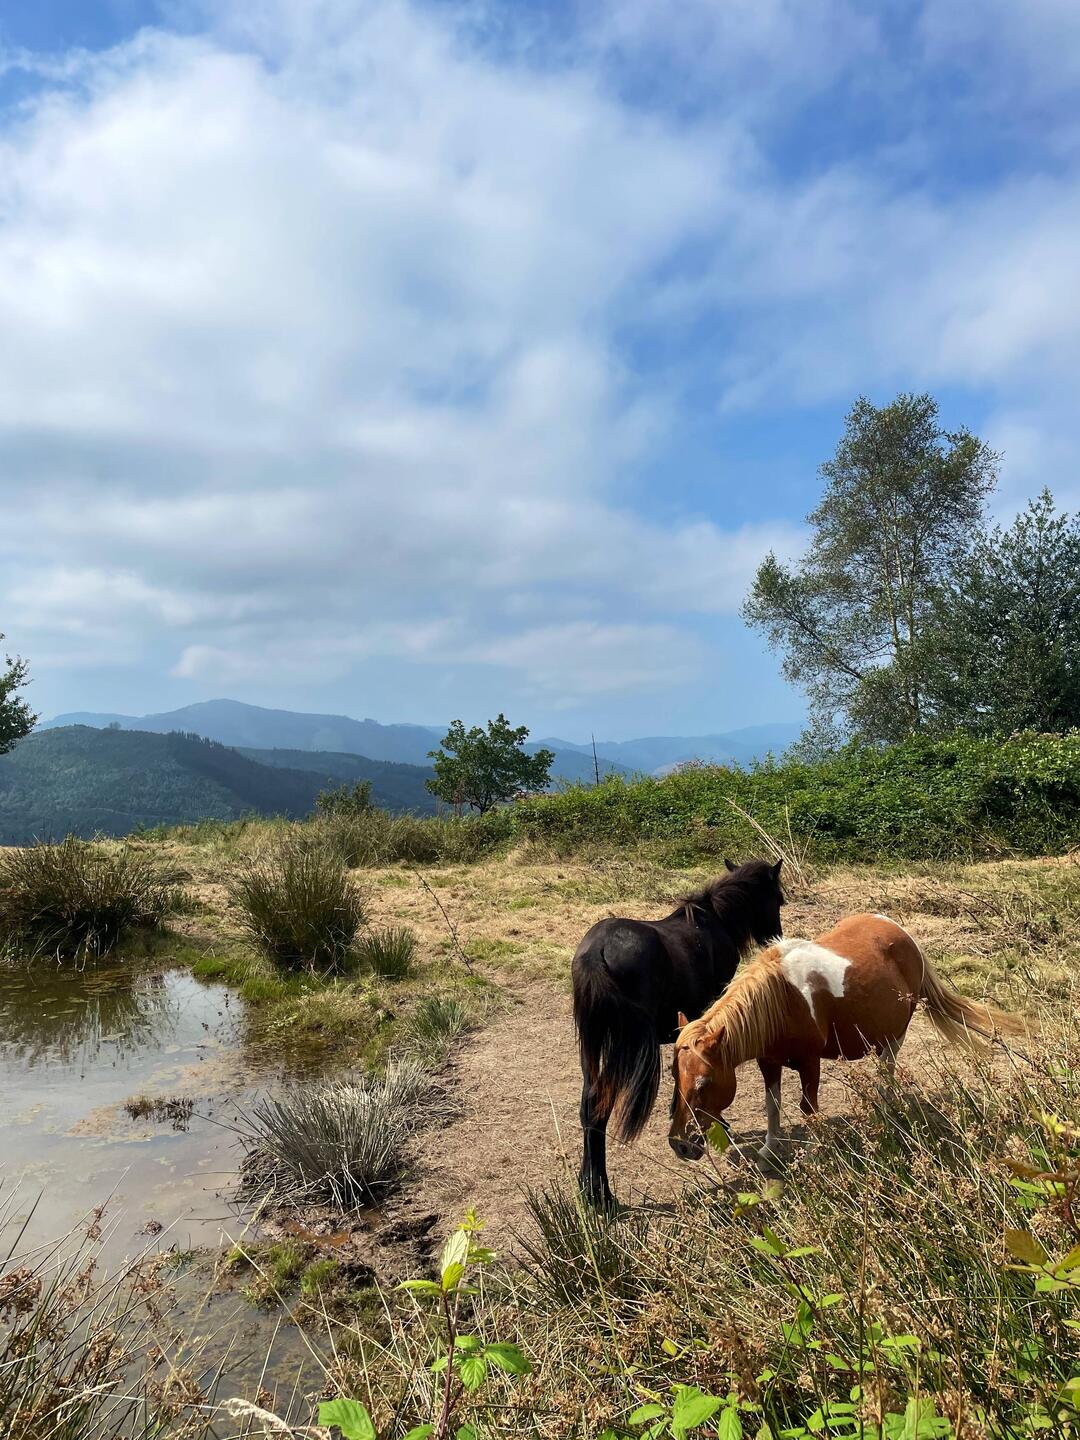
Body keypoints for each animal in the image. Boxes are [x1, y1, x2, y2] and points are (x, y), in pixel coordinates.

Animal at [572, 857, 785, 1207]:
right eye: (778, 899)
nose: (775, 939)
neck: (714, 921)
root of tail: (597, 953)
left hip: (592, 1045)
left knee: (590, 1105)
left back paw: (591, 1191)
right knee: (600, 1105)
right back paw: (602, 1195)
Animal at [668, 911, 1025, 1164]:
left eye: (704, 1082)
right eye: (674, 1076)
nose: (680, 1145)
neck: (783, 999)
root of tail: (902, 933)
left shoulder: (809, 1062)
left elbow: (808, 1108)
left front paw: (815, 1153)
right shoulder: (768, 1061)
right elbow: (772, 1104)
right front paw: (770, 1149)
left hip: (895, 1033)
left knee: (887, 1069)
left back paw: (884, 1108)